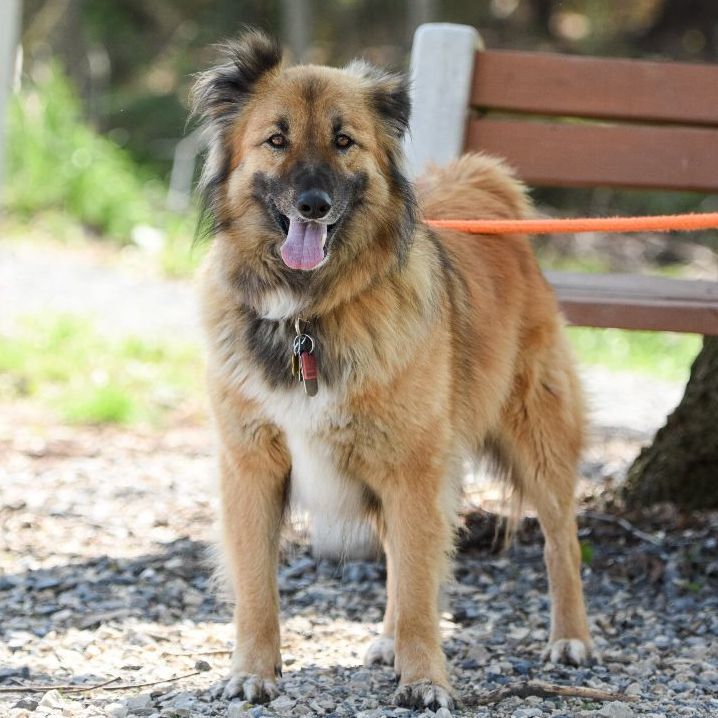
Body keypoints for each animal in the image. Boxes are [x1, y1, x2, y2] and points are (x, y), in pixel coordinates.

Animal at [191, 29, 592, 716]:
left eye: (343, 140)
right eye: (276, 139)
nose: (314, 205)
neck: (308, 315)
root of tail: (481, 185)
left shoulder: (412, 471)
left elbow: (419, 590)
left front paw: (425, 678)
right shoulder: (253, 466)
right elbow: (257, 589)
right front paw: (253, 671)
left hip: (533, 437)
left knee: (560, 539)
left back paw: (570, 638)